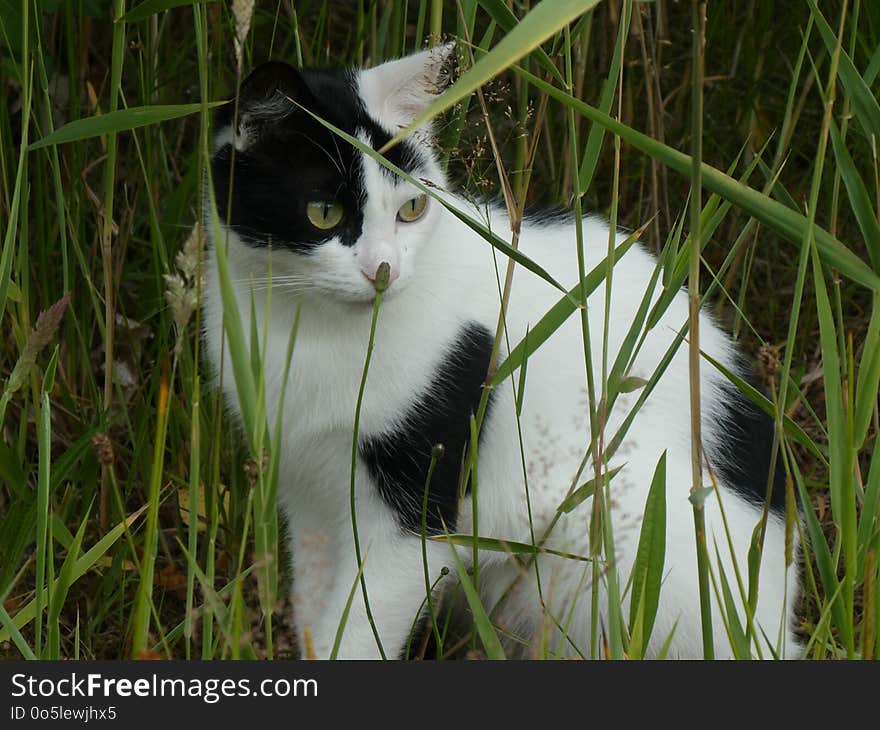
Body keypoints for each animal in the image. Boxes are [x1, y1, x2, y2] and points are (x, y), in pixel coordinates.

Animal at [203, 45, 800, 660]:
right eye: (323, 213)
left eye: (412, 208)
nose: (383, 271)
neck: (312, 332)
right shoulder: (306, 497)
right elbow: (316, 619)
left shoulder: (415, 520)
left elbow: (359, 632)